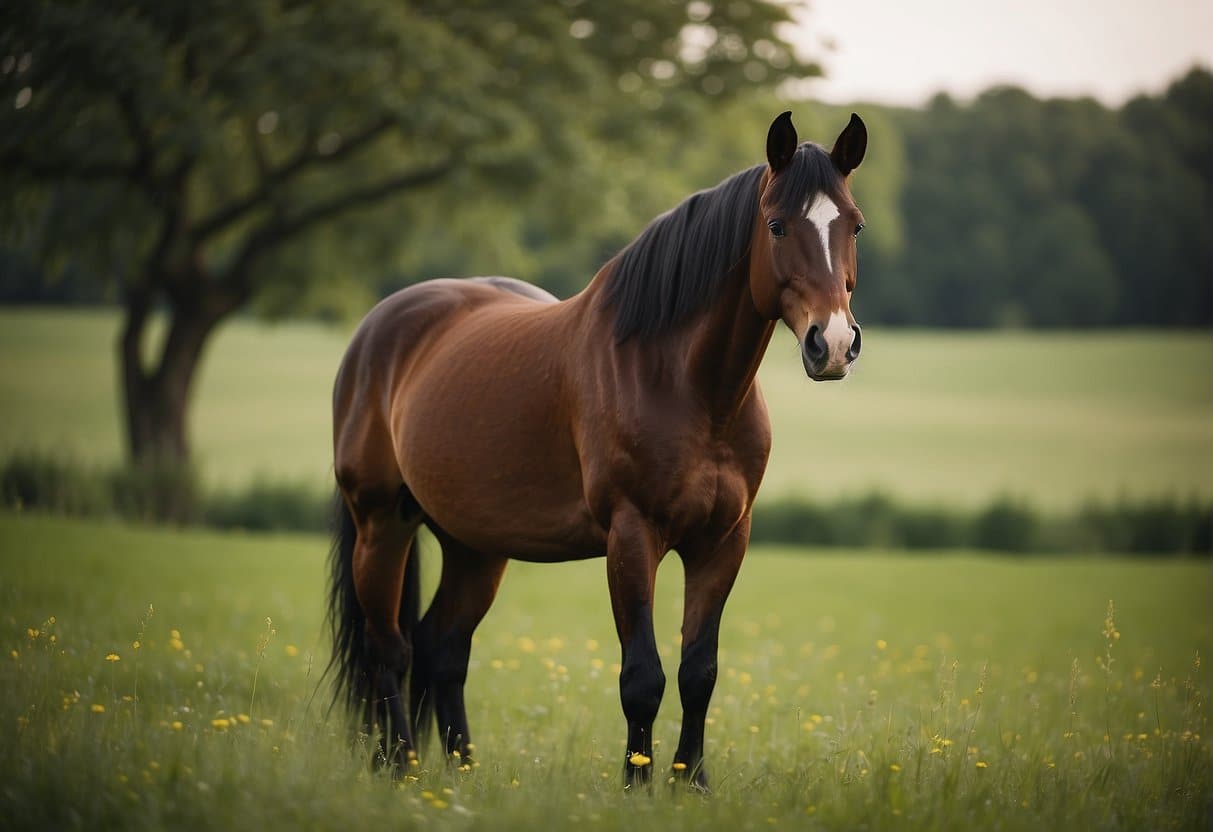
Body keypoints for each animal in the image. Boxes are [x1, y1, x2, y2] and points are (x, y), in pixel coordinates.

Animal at [327, 109, 868, 790]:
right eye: (776, 224)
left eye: (855, 224)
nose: (834, 343)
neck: (686, 383)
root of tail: (377, 330)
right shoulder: (631, 536)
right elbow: (643, 678)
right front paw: (636, 784)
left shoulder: (722, 541)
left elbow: (699, 672)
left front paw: (690, 783)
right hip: (381, 524)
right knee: (389, 650)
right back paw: (401, 767)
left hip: (475, 545)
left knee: (441, 647)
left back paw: (461, 774)